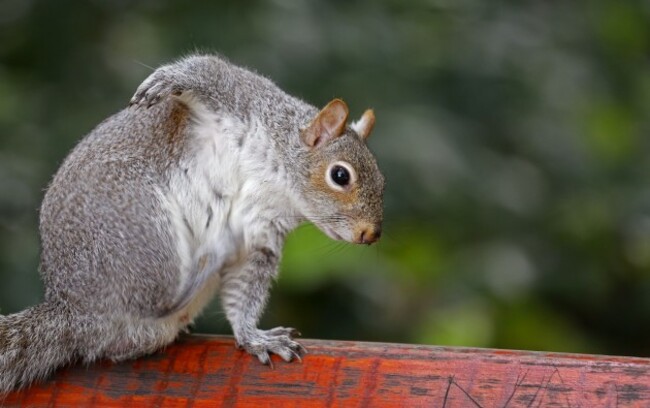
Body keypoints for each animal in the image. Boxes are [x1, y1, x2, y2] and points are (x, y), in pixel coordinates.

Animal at [0, 53, 384, 392]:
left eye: (382, 180)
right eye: (340, 175)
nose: (371, 234)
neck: (276, 180)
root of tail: (75, 310)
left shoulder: (260, 234)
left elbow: (244, 291)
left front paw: (253, 337)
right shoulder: (237, 95)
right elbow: (204, 69)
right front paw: (165, 81)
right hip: (141, 230)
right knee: (155, 297)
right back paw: (205, 262)